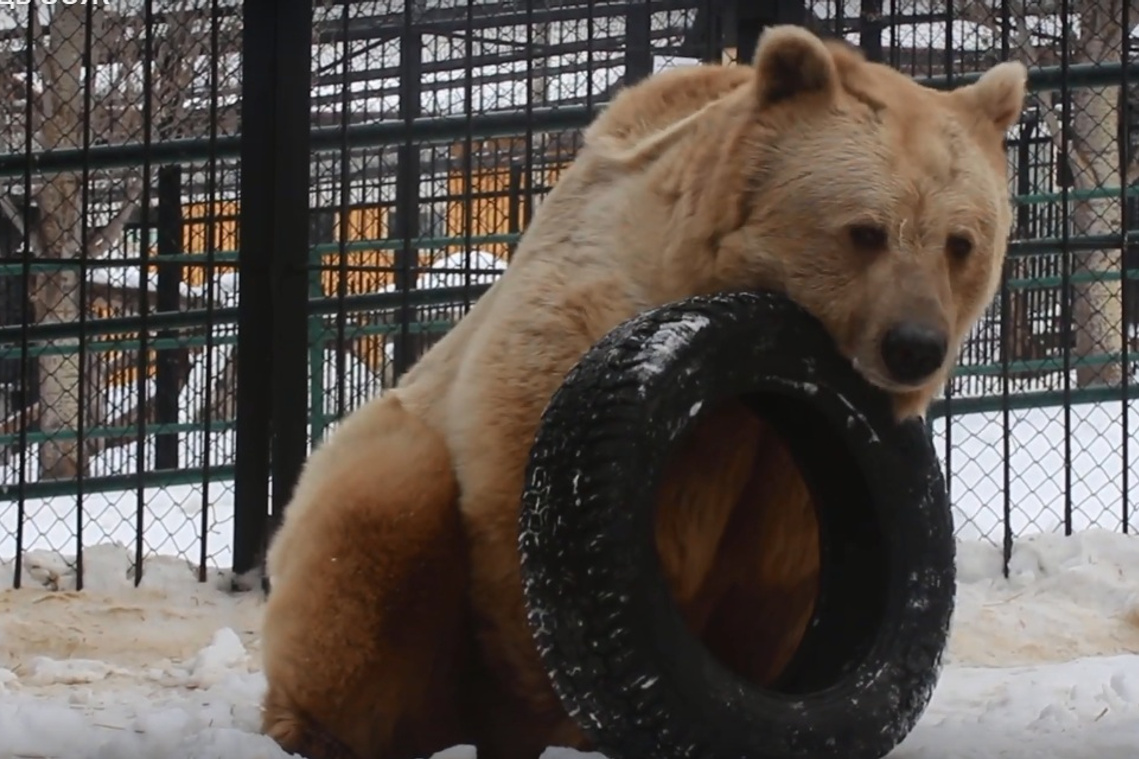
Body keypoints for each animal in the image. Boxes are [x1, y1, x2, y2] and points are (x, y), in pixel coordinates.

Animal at [261, 22, 1029, 756]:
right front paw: (563, 711)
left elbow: (794, 585)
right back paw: (318, 728)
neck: (706, 269)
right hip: (385, 464)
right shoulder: (580, 329)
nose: (914, 345)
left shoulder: (796, 468)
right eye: (864, 231)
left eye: (960, 242)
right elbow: (527, 528)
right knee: (373, 506)